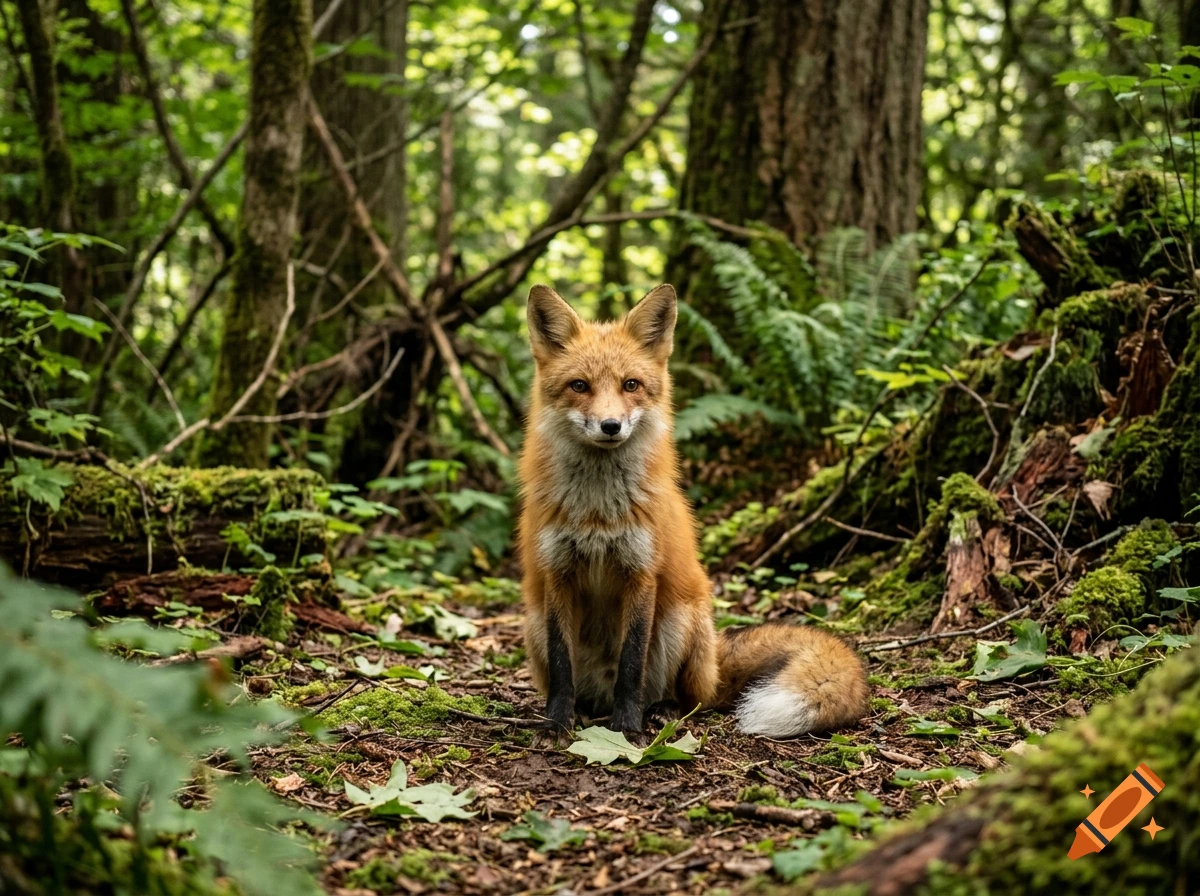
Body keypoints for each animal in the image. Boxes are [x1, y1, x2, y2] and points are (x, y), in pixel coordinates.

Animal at [517, 283, 869, 737]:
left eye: (631, 384)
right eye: (579, 385)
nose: (611, 426)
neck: (598, 513)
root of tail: (714, 665)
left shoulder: (641, 571)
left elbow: (632, 664)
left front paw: (626, 727)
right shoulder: (557, 572)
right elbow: (563, 665)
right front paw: (558, 721)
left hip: (681, 620)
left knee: (688, 699)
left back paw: (661, 709)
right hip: (533, 621)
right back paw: (584, 709)